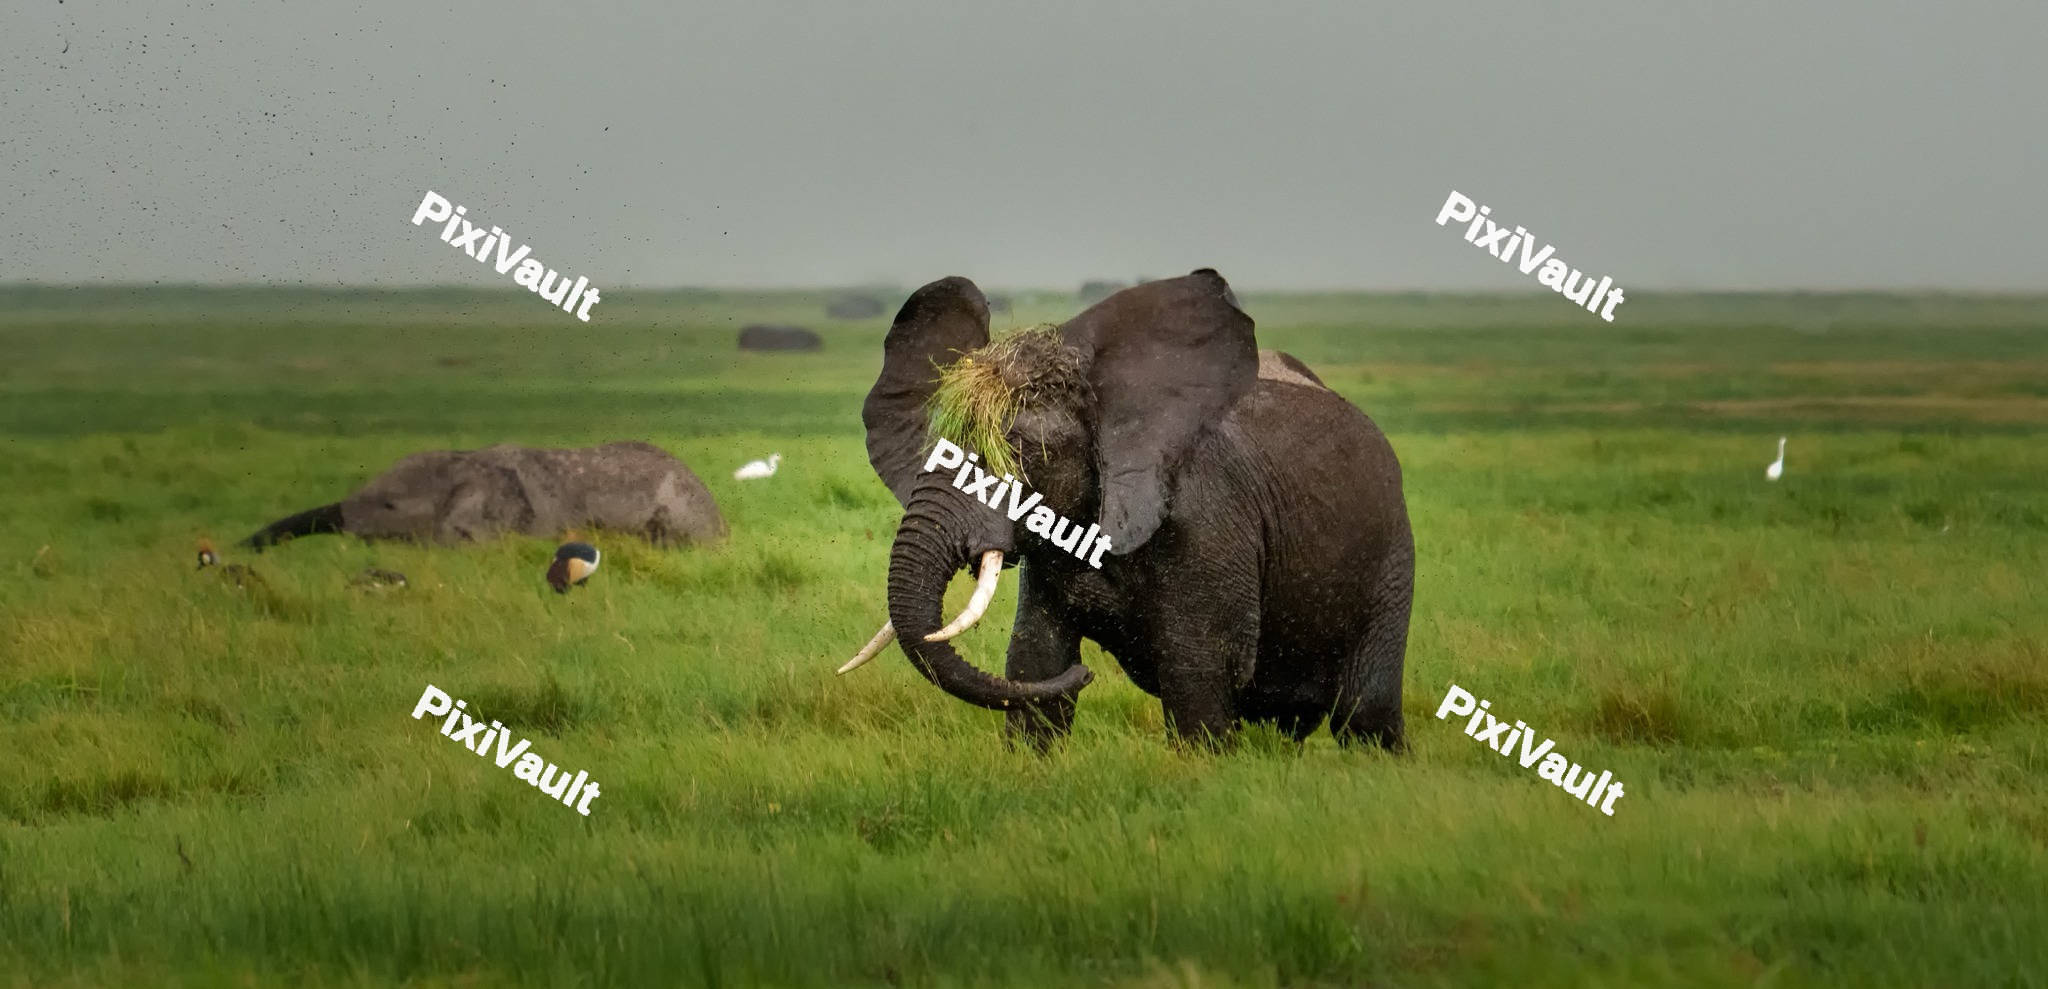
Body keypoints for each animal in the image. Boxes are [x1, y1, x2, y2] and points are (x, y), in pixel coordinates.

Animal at [843, 269, 1414, 751]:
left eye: (1021, 453)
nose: (1089, 674)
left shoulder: (1208, 528)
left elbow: (1197, 674)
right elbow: (1035, 662)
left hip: (1391, 556)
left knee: (1364, 715)